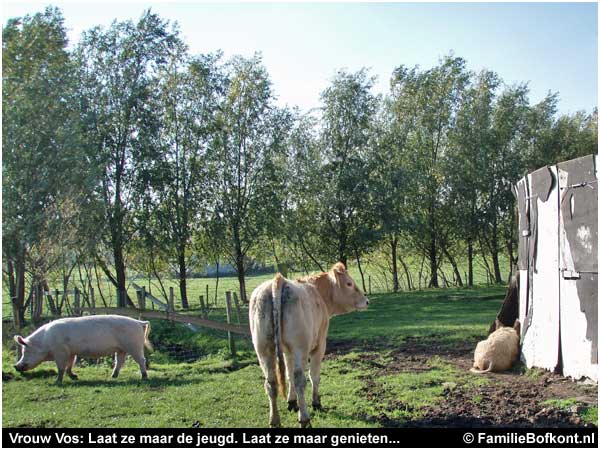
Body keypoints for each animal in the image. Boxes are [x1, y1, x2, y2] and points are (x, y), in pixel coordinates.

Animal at [13, 314, 152, 384]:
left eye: (25, 351)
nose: (16, 366)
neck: (45, 342)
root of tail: (139, 322)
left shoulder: (60, 351)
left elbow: (61, 367)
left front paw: (57, 381)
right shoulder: (70, 352)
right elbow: (70, 365)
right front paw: (75, 377)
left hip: (134, 346)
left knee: (142, 360)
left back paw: (144, 377)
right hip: (121, 348)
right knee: (120, 361)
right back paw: (113, 376)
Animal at [250, 264, 370, 428]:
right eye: (349, 283)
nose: (366, 301)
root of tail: (278, 281)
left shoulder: (287, 351)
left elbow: (288, 375)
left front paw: (292, 402)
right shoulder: (320, 345)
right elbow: (314, 376)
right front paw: (316, 402)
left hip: (263, 349)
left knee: (271, 382)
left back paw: (275, 420)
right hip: (300, 348)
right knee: (300, 379)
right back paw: (304, 418)